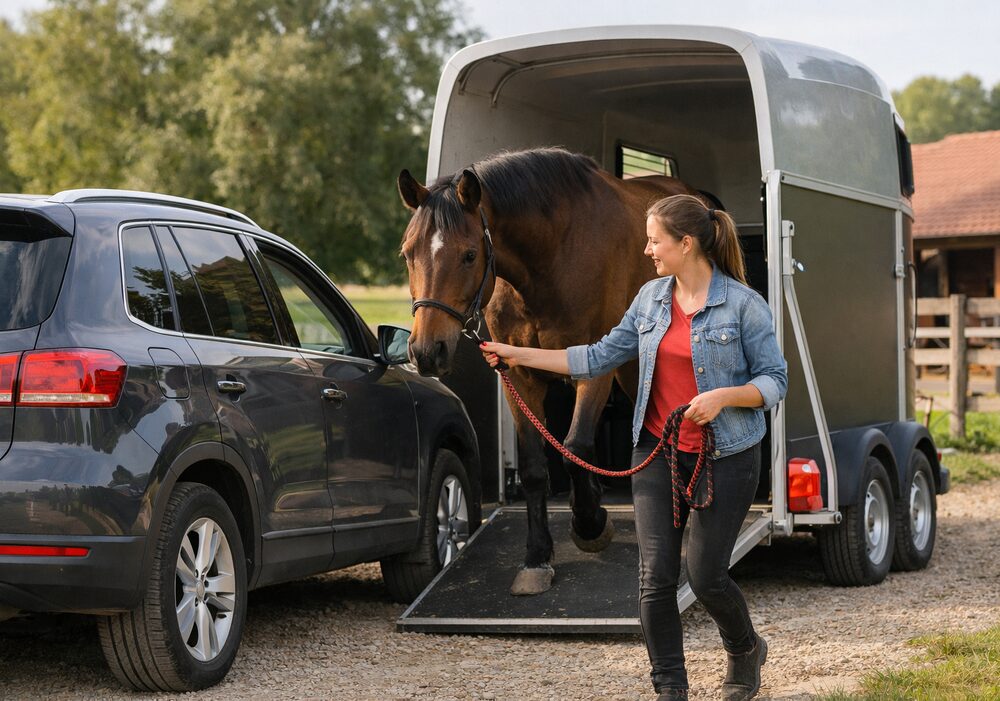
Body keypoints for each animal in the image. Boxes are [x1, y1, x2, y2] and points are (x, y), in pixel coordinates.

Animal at [397, 147, 703, 595]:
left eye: (469, 254)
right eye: (407, 254)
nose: (425, 350)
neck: (551, 258)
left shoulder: (595, 367)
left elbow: (574, 448)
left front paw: (591, 525)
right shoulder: (519, 374)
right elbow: (535, 467)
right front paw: (537, 555)